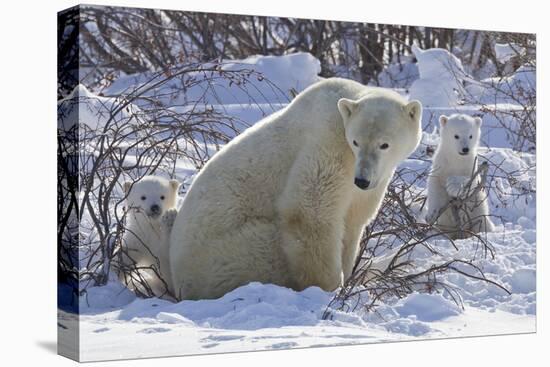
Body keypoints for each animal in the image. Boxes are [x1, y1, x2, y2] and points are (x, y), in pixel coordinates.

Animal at [168, 79, 422, 300]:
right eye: (356, 142)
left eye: (384, 144)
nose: (362, 180)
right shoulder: (327, 142)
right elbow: (310, 212)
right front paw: (331, 287)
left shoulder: (372, 180)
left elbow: (353, 220)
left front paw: (349, 274)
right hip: (230, 252)